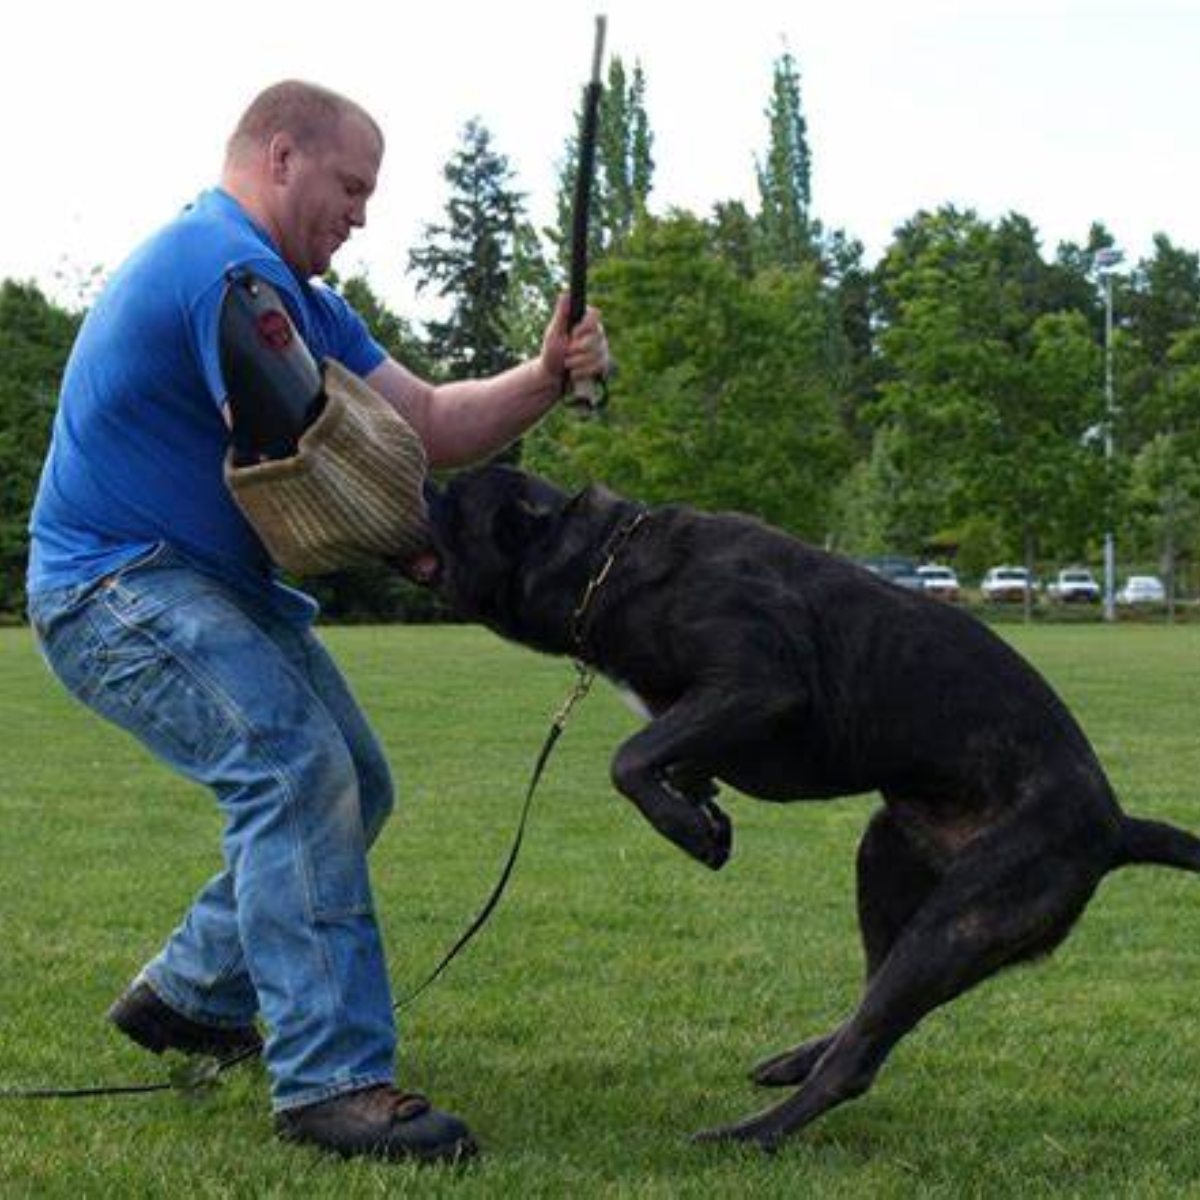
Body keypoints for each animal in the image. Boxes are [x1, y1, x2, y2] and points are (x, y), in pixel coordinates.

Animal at [415, 463, 1200, 1147]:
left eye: (450, 499)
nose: (420, 476)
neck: (600, 560)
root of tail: (1117, 826)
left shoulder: (757, 683)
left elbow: (629, 758)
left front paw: (689, 828)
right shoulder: (706, 713)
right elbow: (663, 756)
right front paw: (700, 807)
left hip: (960, 921)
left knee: (861, 1057)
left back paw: (749, 1136)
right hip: (888, 859)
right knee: (870, 1001)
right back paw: (796, 1063)